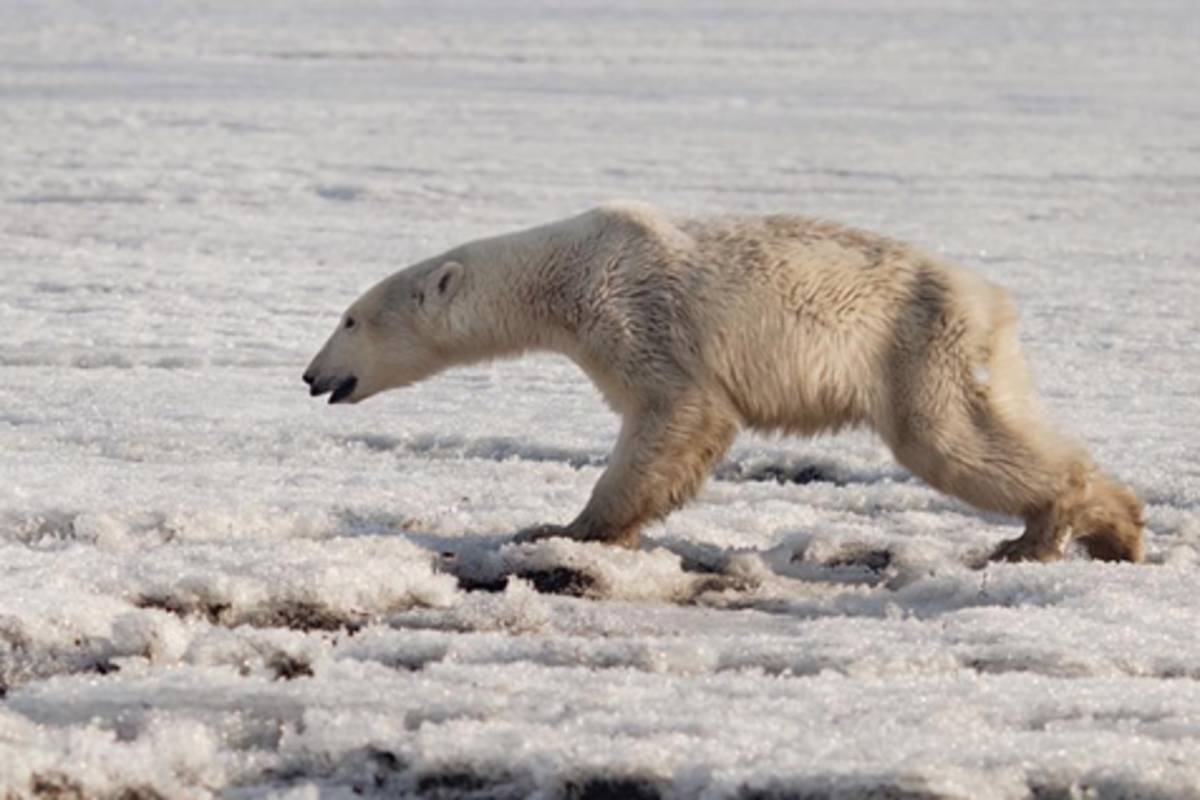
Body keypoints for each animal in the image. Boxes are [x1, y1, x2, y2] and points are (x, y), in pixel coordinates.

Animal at [303, 203, 1144, 563]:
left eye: (349, 319)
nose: (312, 377)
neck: (566, 271)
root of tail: (991, 299)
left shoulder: (634, 310)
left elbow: (676, 413)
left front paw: (562, 529)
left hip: (916, 343)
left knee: (948, 440)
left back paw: (1042, 533)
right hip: (966, 352)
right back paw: (1116, 525)